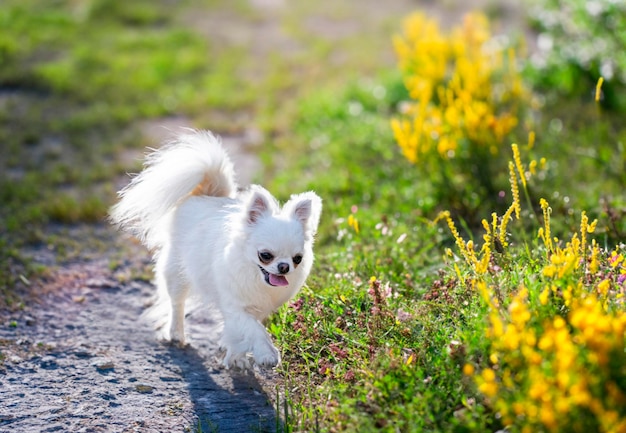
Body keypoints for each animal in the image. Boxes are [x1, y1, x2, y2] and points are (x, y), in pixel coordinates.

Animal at [108, 129, 322, 368]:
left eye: (297, 259)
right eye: (265, 256)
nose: (284, 267)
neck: (255, 278)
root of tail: (206, 193)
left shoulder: (254, 308)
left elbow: (239, 331)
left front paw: (236, 356)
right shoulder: (235, 306)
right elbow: (254, 330)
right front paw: (266, 354)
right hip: (177, 272)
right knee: (176, 303)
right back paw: (176, 333)